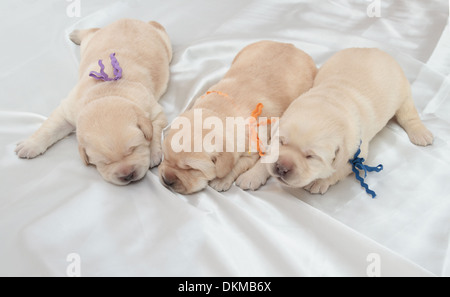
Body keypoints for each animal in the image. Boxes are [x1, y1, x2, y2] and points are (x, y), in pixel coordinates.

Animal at [14, 18, 171, 184]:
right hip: (90, 42)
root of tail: (128, 20)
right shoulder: (68, 111)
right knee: (91, 32)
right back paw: (76, 33)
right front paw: (29, 144)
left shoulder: (154, 109)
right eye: (103, 162)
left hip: (166, 44)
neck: (106, 93)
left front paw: (154, 153)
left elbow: (155, 129)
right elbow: (49, 128)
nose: (127, 175)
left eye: (133, 149)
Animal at [158, 40, 316, 193]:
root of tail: (290, 44)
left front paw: (221, 180)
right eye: (165, 157)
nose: (166, 180)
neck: (217, 112)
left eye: (191, 169)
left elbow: (236, 165)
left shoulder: (253, 150)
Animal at [266, 47, 434, 195]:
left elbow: (338, 169)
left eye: (311, 156)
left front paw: (319, 181)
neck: (330, 99)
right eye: (281, 142)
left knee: (409, 114)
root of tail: (376, 49)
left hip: (403, 93)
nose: (281, 167)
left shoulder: (357, 152)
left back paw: (421, 134)